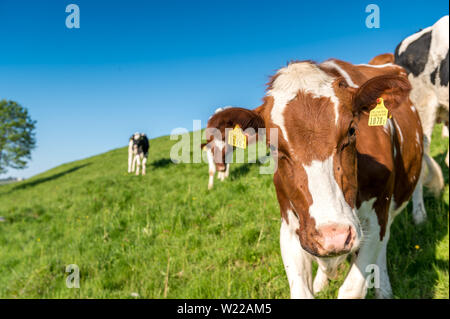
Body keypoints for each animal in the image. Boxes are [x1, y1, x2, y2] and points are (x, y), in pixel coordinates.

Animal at [209, 60, 424, 300]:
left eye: (352, 130)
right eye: (273, 147)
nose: (334, 237)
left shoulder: (376, 217)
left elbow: (352, 288)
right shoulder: (290, 227)